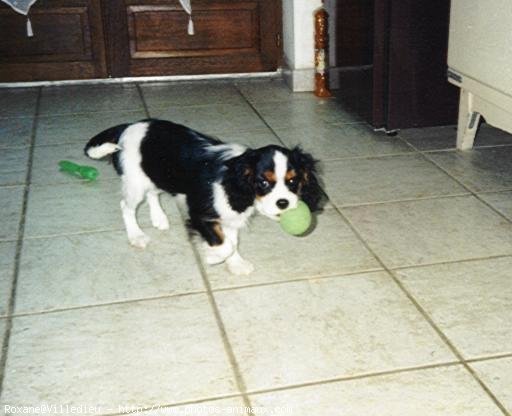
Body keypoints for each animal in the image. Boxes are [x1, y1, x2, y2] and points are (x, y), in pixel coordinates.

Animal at [85, 118, 322, 274]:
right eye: (263, 183)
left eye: (293, 181)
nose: (283, 203)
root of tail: (129, 125)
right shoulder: (201, 214)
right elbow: (225, 243)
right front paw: (214, 256)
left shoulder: (230, 217)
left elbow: (232, 241)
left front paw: (236, 264)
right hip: (135, 182)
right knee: (126, 206)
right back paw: (136, 236)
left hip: (154, 175)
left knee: (152, 193)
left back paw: (159, 218)